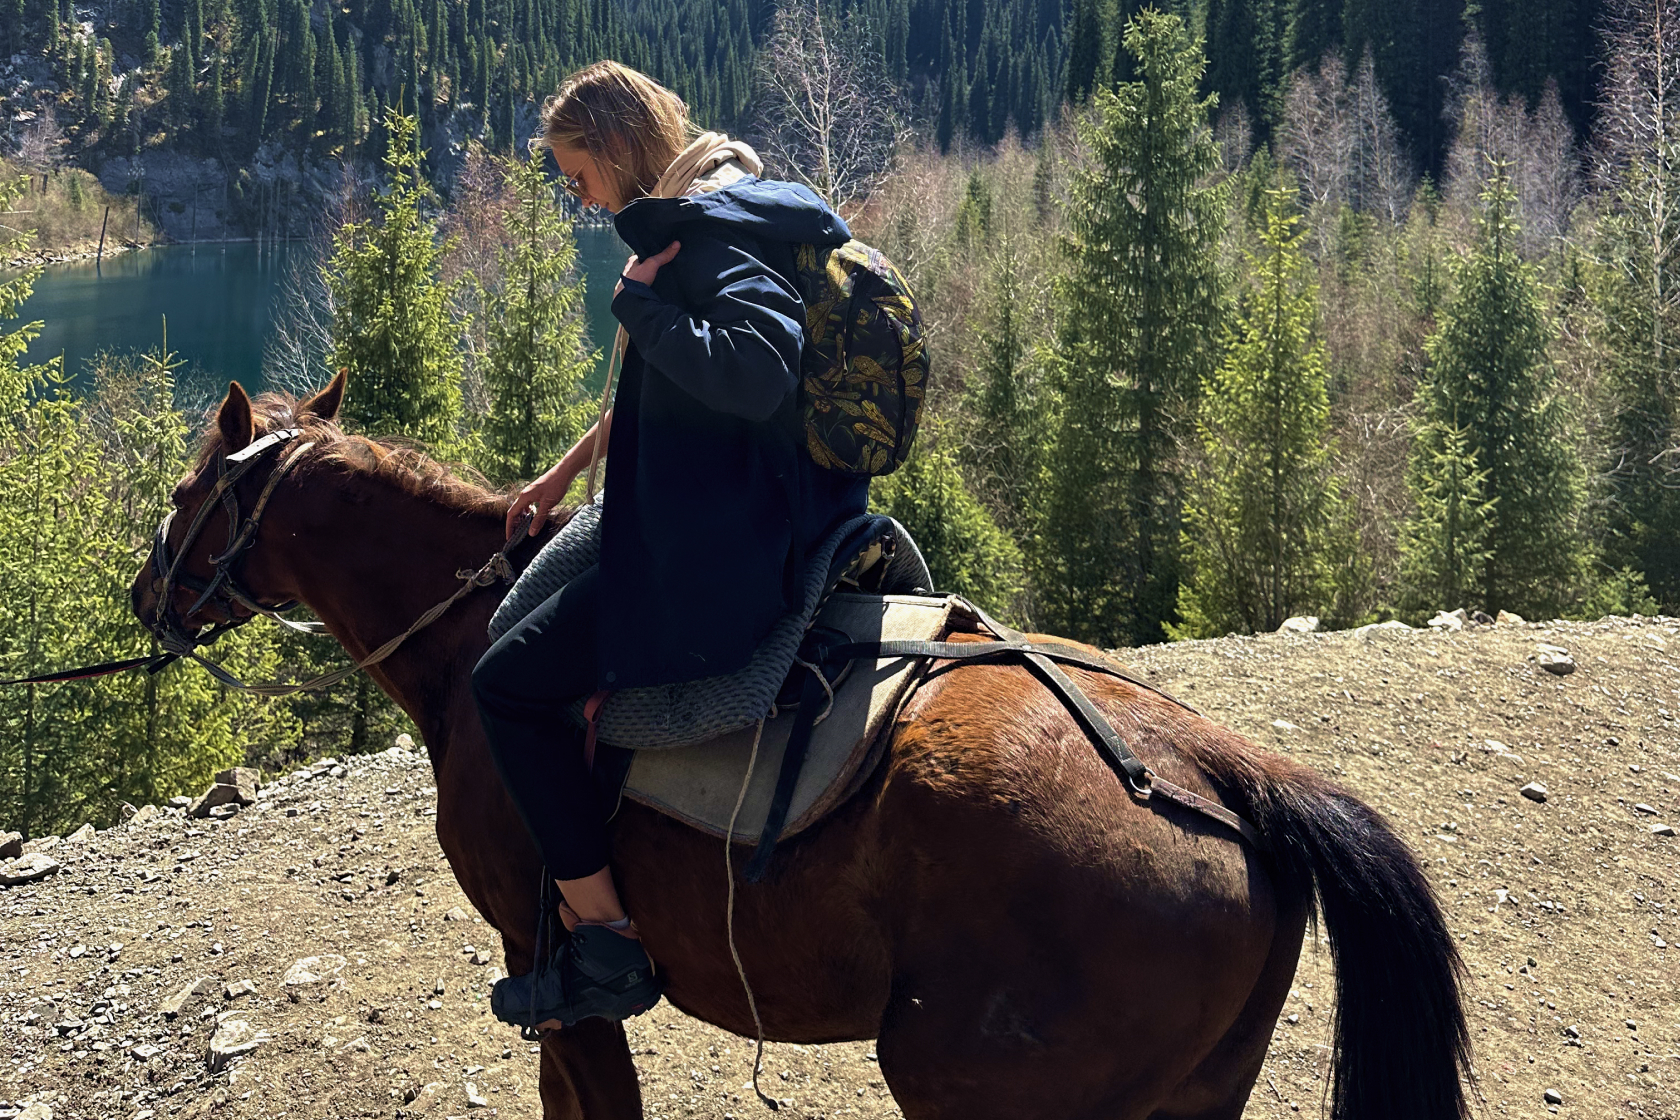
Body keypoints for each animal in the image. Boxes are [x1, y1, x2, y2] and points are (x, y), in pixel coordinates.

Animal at [131, 379, 1471, 1120]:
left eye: (189, 488)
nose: (145, 596)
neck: (476, 634)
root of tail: (1219, 773)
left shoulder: (546, 957)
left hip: (968, 1082)